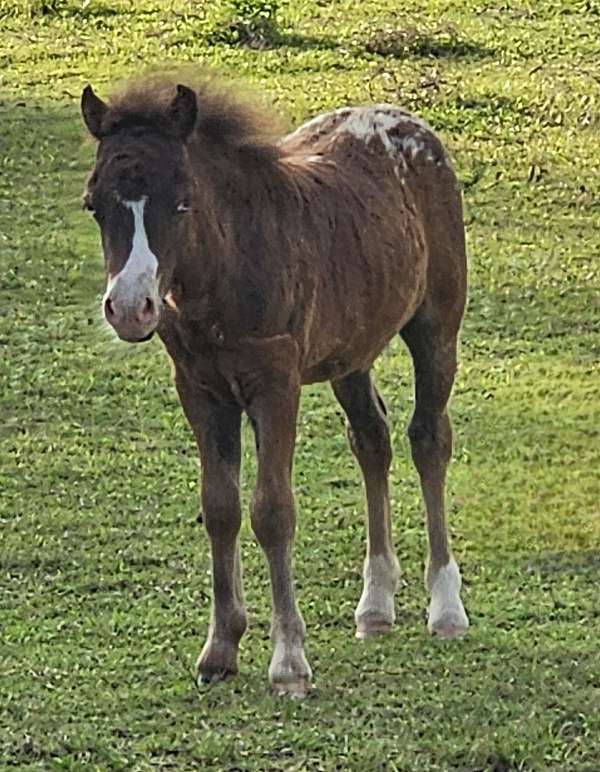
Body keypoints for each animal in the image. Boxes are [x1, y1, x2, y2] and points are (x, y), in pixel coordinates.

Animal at [81, 75, 469, 697]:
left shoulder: (275, 383)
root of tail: (408, 123)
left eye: (183, 202)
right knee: (372, 440)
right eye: (94, 204)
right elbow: (219, 507)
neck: (223, 269)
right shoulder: (201, 390)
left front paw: (289, 662)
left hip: (436, 326)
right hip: (349, 352)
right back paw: (375, 606)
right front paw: (219, 650)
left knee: (428, 438)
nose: (130, 308)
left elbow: (272, 510)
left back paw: (446, 607)